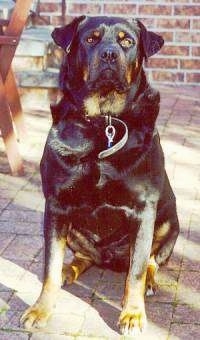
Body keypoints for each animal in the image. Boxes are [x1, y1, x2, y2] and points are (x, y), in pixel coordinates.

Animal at [21, 15, 179, 334]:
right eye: (91, 39)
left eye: (127, 41)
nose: (109, 54)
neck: (104, 123)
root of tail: (108, 260)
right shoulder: (56, 205)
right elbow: (50, 264)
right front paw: (41, 308)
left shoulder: (144, 209)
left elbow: (136, 271)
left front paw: (132, 314)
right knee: (81, 257)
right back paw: (70, 269)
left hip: (169, 220)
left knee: (150, 261)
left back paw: (148, 283)